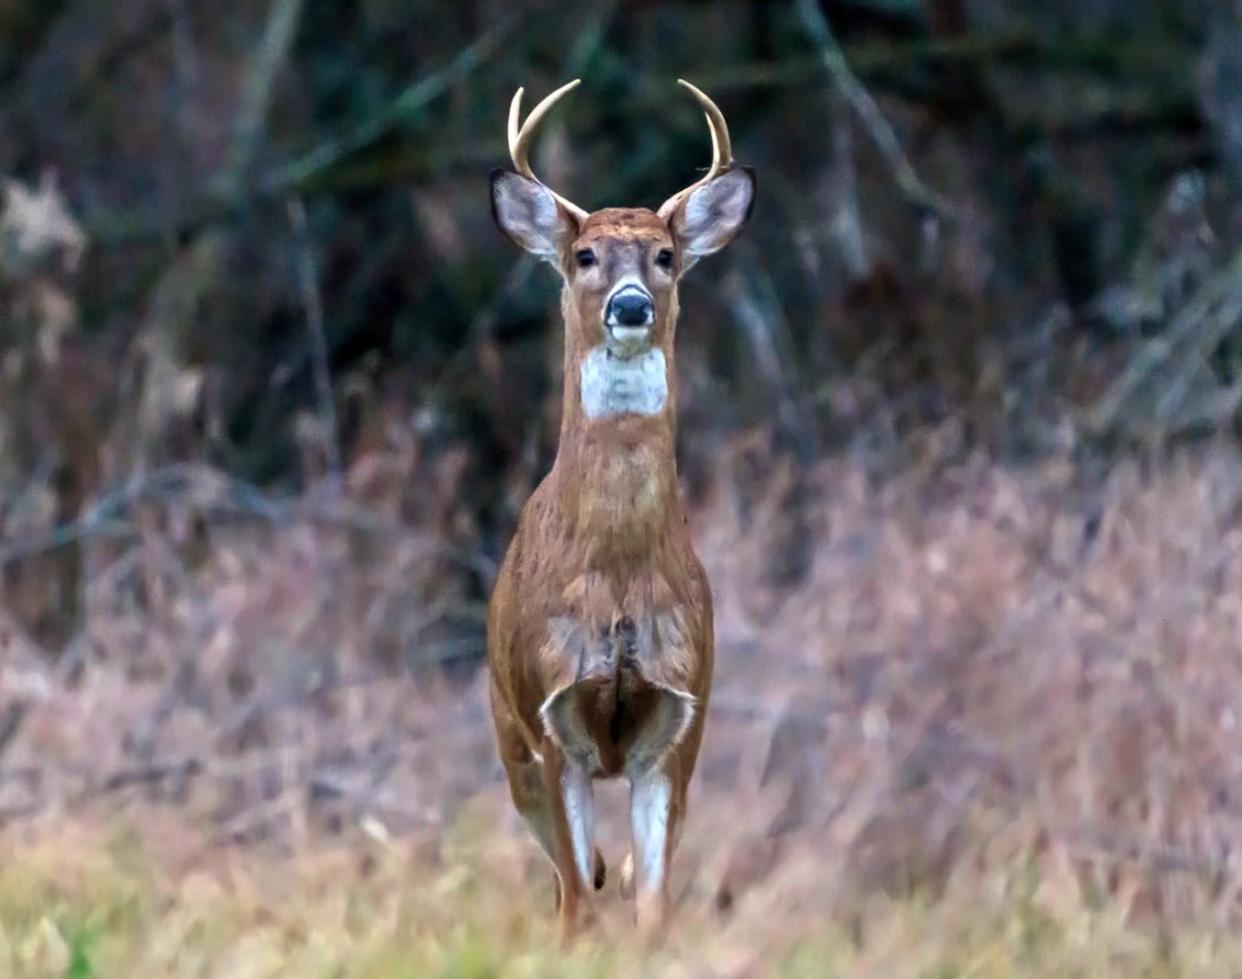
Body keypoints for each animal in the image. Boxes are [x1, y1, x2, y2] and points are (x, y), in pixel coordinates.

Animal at [486, 78, 755, 939]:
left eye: (666, 256)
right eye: (584, 256)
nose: (631, 306)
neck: (614, 573)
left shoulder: (680, 719)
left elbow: (653, 900)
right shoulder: (548, 714)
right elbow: (578, 901)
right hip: (507, 736)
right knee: (564, 879)